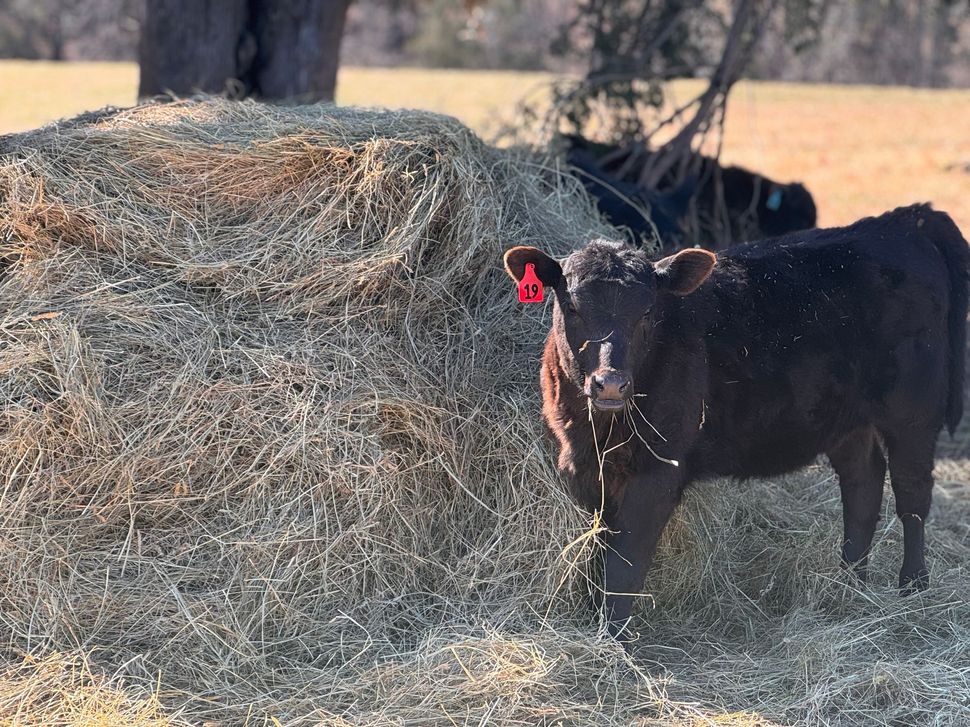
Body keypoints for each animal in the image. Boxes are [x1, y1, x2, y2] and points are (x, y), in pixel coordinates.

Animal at [504, 204, 969, 638]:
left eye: (648, 312)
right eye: (572, 307)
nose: (611, 384)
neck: (599, 431)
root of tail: (903, 220)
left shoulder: (658, 471)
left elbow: (625, 564)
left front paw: (614, 638)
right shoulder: (583, 469)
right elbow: (598, 553)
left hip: (914, 410)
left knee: (912, 495)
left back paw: (913, 586)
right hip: (846, 419)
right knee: (863, 486)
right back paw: (850, 583)